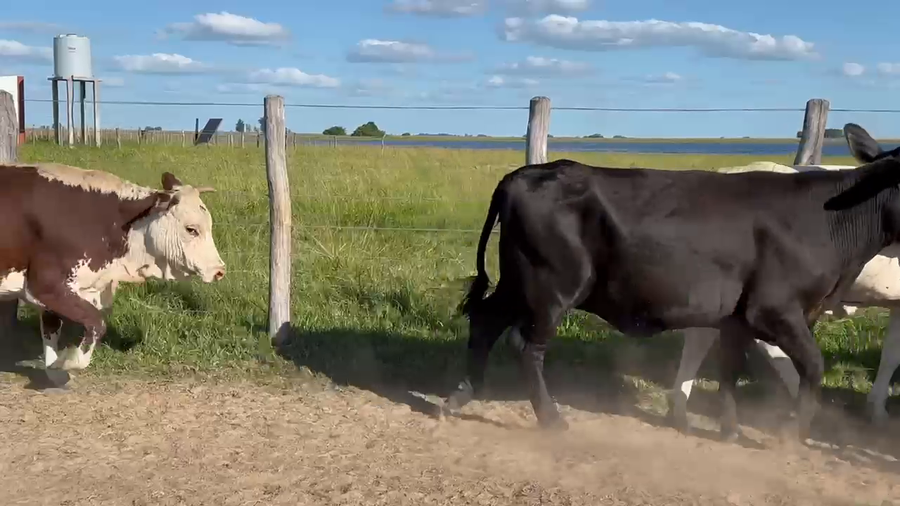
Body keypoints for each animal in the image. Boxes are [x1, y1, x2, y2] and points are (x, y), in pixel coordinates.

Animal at [0, 163, 226, 372]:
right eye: (191, 229)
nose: (219, 270)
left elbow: (51, 339)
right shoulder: (44, 286)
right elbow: (96, 324)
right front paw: (71, 361)